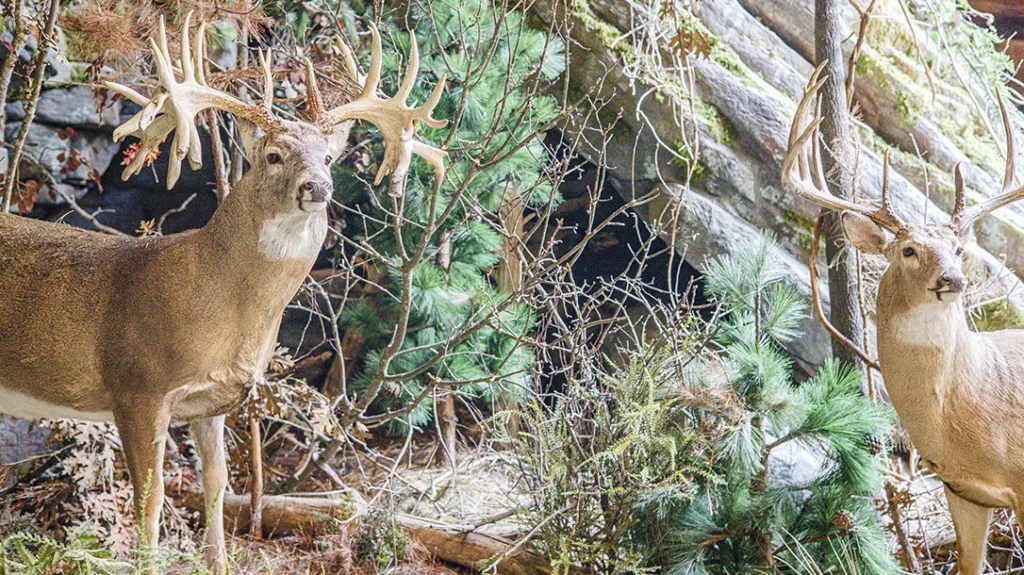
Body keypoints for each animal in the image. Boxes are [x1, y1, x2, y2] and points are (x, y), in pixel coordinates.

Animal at [0, 13, 447, 575]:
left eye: (328, 156)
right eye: (274, 155)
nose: (318, 187)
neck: (216, 304)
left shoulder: (212, 401)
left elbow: (217, 486)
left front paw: (218, 562)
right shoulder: (138, 387)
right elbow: (150, 501)